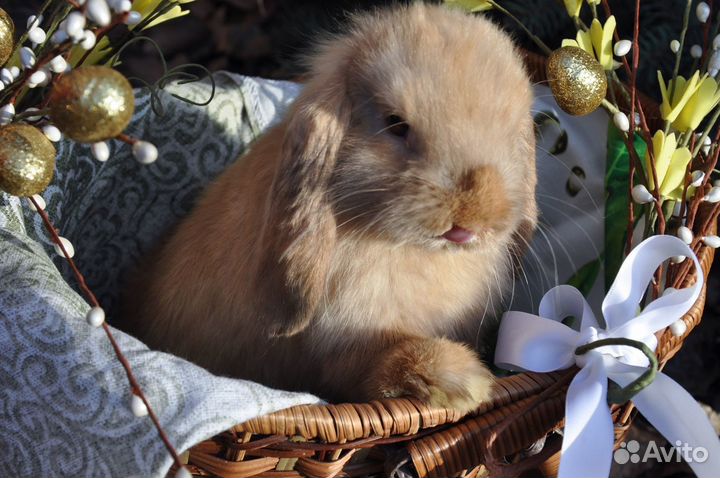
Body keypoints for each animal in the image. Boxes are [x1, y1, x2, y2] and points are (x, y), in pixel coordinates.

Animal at [122, 3, 537, 414]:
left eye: (511, 131)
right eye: (396, 124)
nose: (473, 217)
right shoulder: (339, 356)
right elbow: (381, 360)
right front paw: (460, 382)